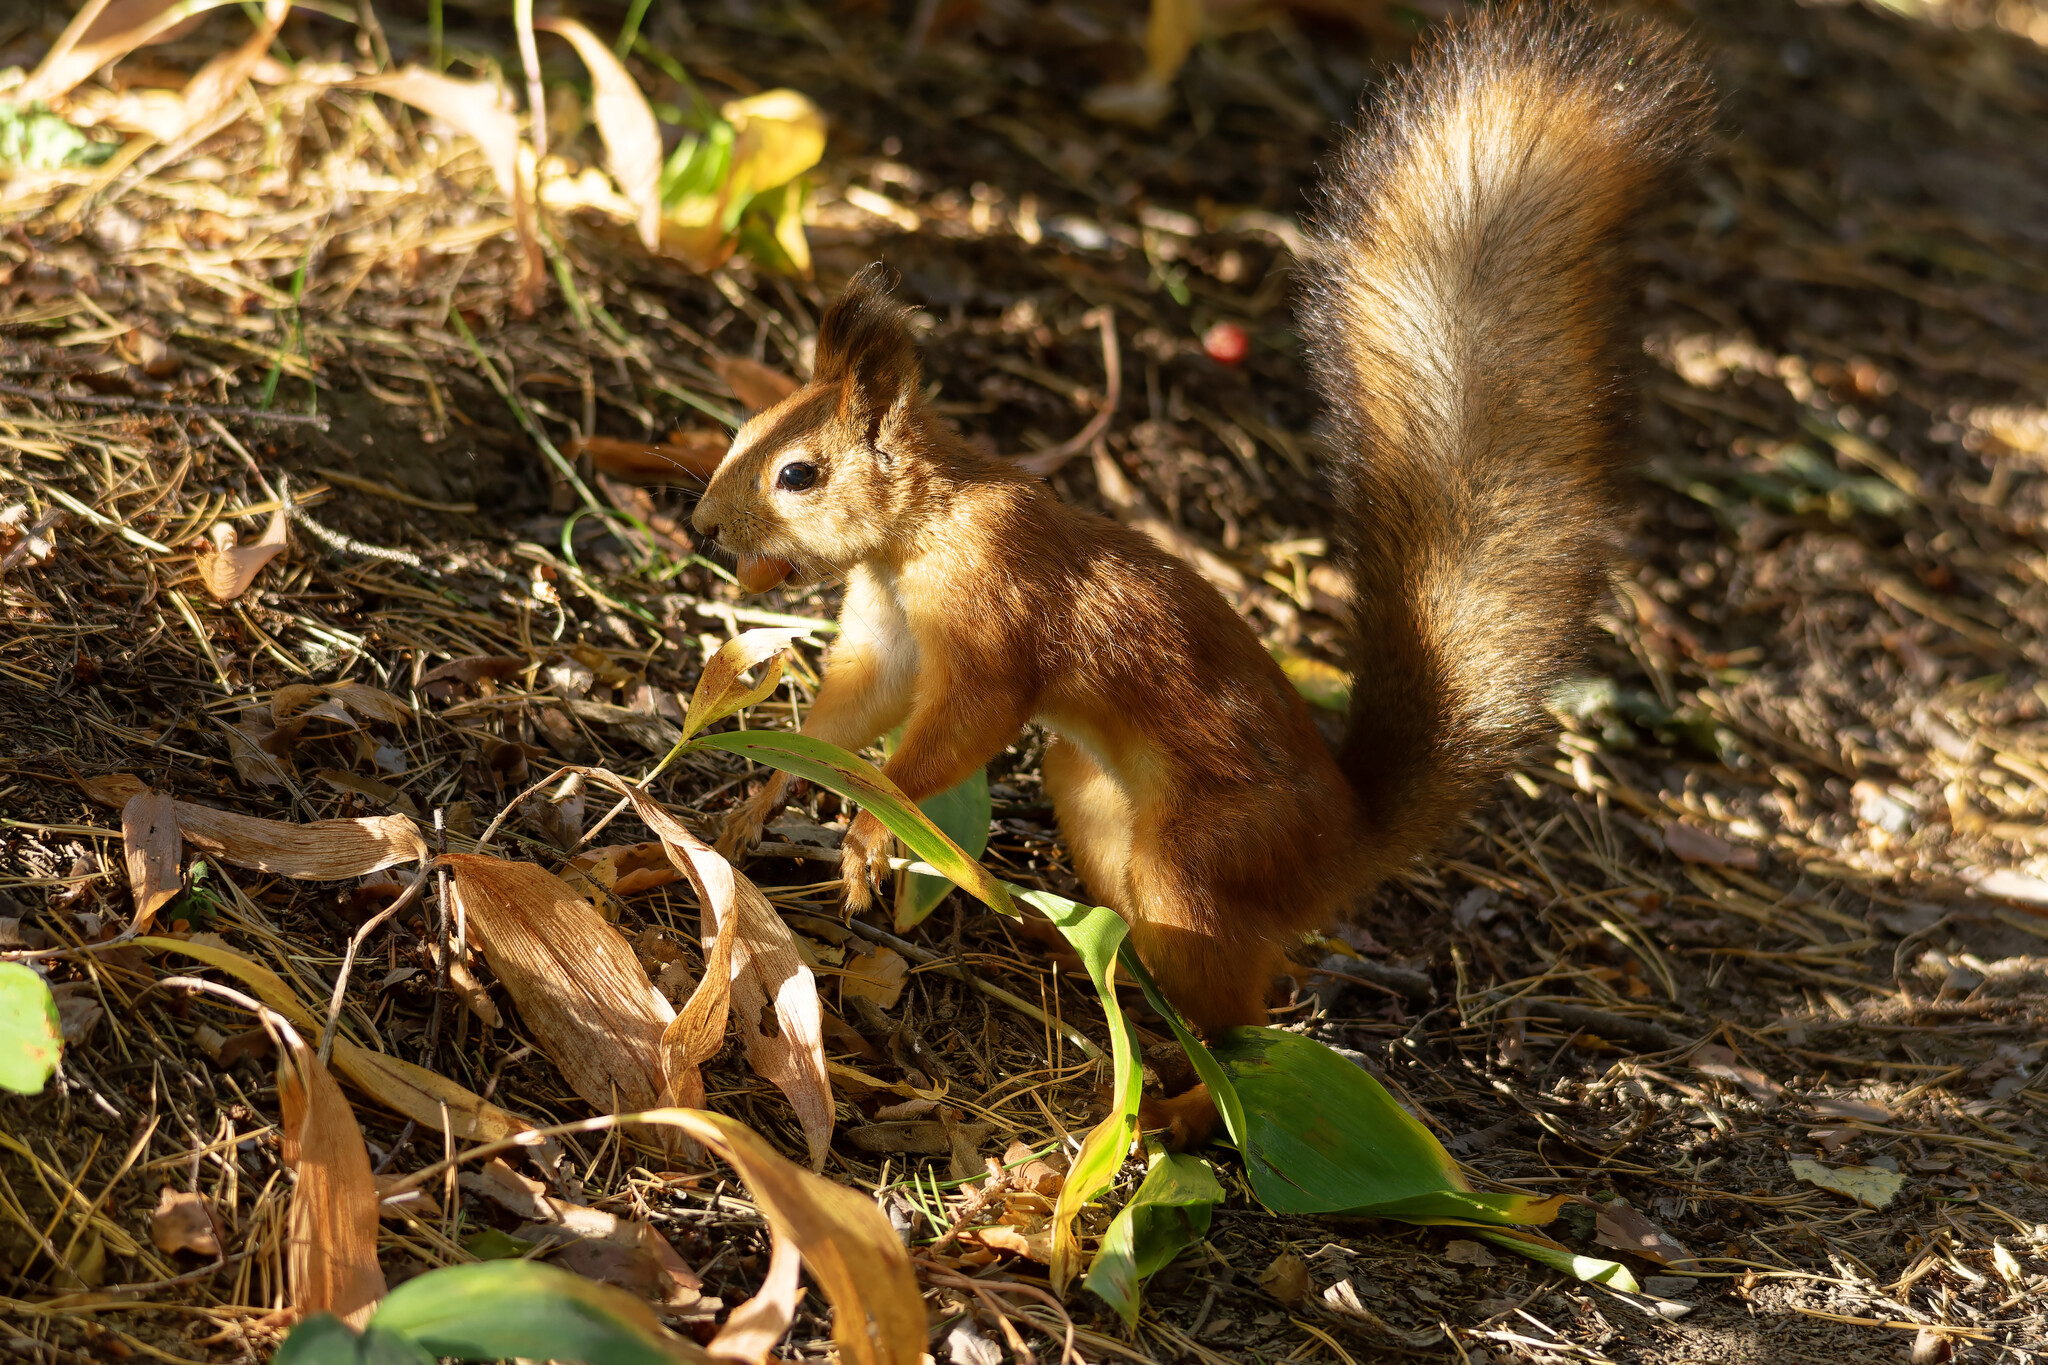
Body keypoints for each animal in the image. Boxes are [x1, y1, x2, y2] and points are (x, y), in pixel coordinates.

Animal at [692, 0, 1712, 1146]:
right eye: (742, 427)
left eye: (797, 472)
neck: (919, 534)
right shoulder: (886, 633)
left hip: (1204, 854)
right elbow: (845, 716)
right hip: (1094, 800)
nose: (701, 525)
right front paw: (759, 796)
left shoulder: (999, 606)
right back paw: (1069, 942)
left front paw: (873, 831)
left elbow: (964, 722)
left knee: (1243, 1021)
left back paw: (1179, 1107)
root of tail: (1344, 840)